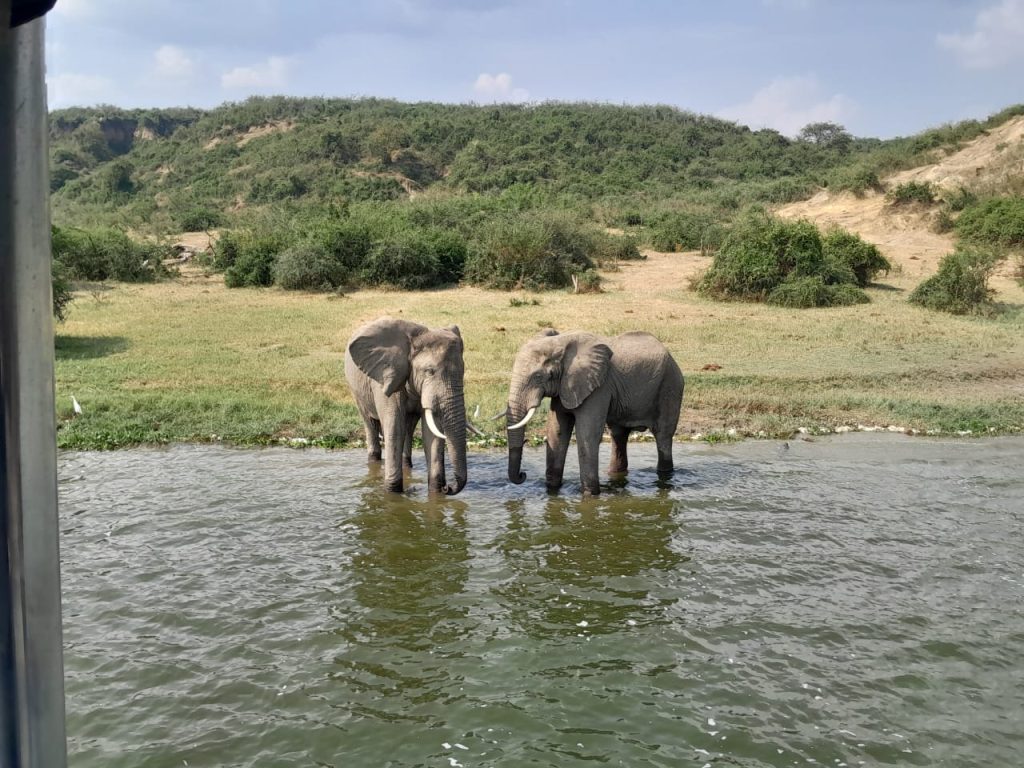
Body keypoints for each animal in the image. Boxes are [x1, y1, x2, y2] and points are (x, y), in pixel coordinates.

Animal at [345, 317, 467, 495]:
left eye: (463, 372)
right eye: (429, 371)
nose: (448, 487)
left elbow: (431, 432)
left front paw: (435, 493)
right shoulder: (388, 378)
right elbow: (394, 427)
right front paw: (392, 493)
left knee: (408, 428)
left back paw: (406, 465)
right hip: (356, 390)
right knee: (371, 423)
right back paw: (374, 462)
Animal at [505, 329, 684, 496]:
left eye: (538, 376)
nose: (523, 475)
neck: (560, 343)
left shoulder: (598, 388)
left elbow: (587, 435)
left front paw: (590, 495)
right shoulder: (565, 387)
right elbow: (557, 432)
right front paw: (552, 490)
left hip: (670, 387)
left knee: (663, 435)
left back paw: (665, 477)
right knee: (618, 434)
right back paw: (615, 475)